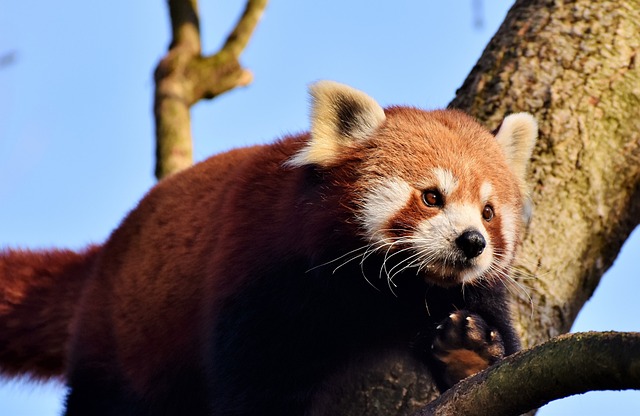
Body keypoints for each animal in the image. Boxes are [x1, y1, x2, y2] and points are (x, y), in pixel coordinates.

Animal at [0, 82, 536, 416]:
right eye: (431, 197)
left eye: (488, 212)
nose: (472, 242)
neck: (384, 293)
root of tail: (108, 252)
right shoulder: (261, 275)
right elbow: (256, 381)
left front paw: (468, 353)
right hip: (123, 341)